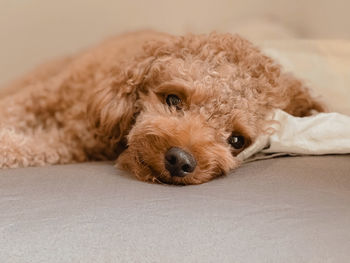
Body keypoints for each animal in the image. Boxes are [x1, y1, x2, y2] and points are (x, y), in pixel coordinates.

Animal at [0, 31, 324, 185]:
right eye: (173, 100)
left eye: (236, 140)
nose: (180, 161)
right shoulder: (40, 97)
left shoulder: (67, 144)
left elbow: (23, 148)